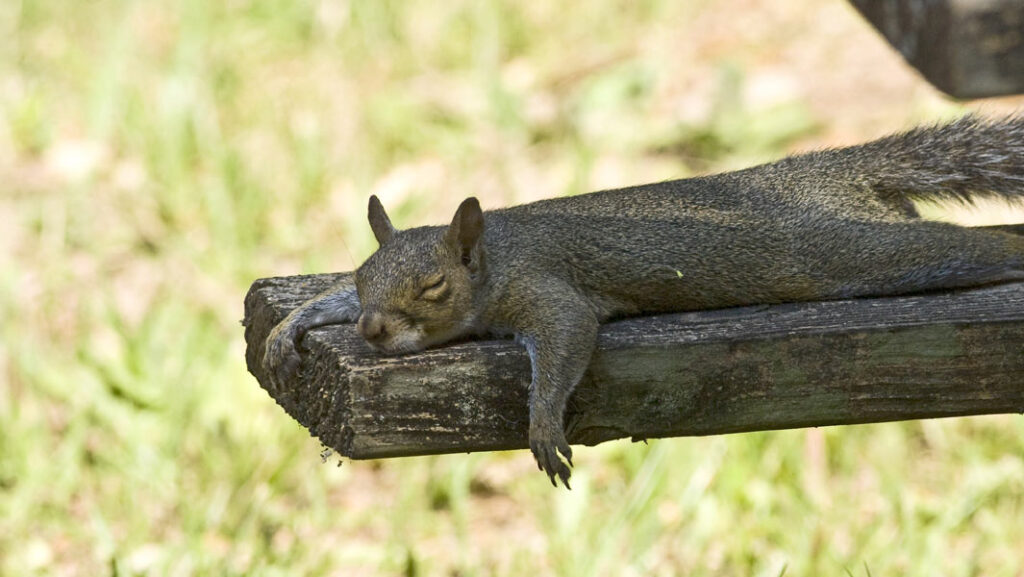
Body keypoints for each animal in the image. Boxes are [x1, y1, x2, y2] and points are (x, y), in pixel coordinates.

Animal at [263, 115, 1024, 488]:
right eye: (363, 276)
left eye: (433, 288)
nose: (372, 330)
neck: (497, 255)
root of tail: (837, 172)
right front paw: (293, 325)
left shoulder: (545, 289)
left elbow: (565, 339)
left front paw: (543, 421)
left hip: (850, 251)